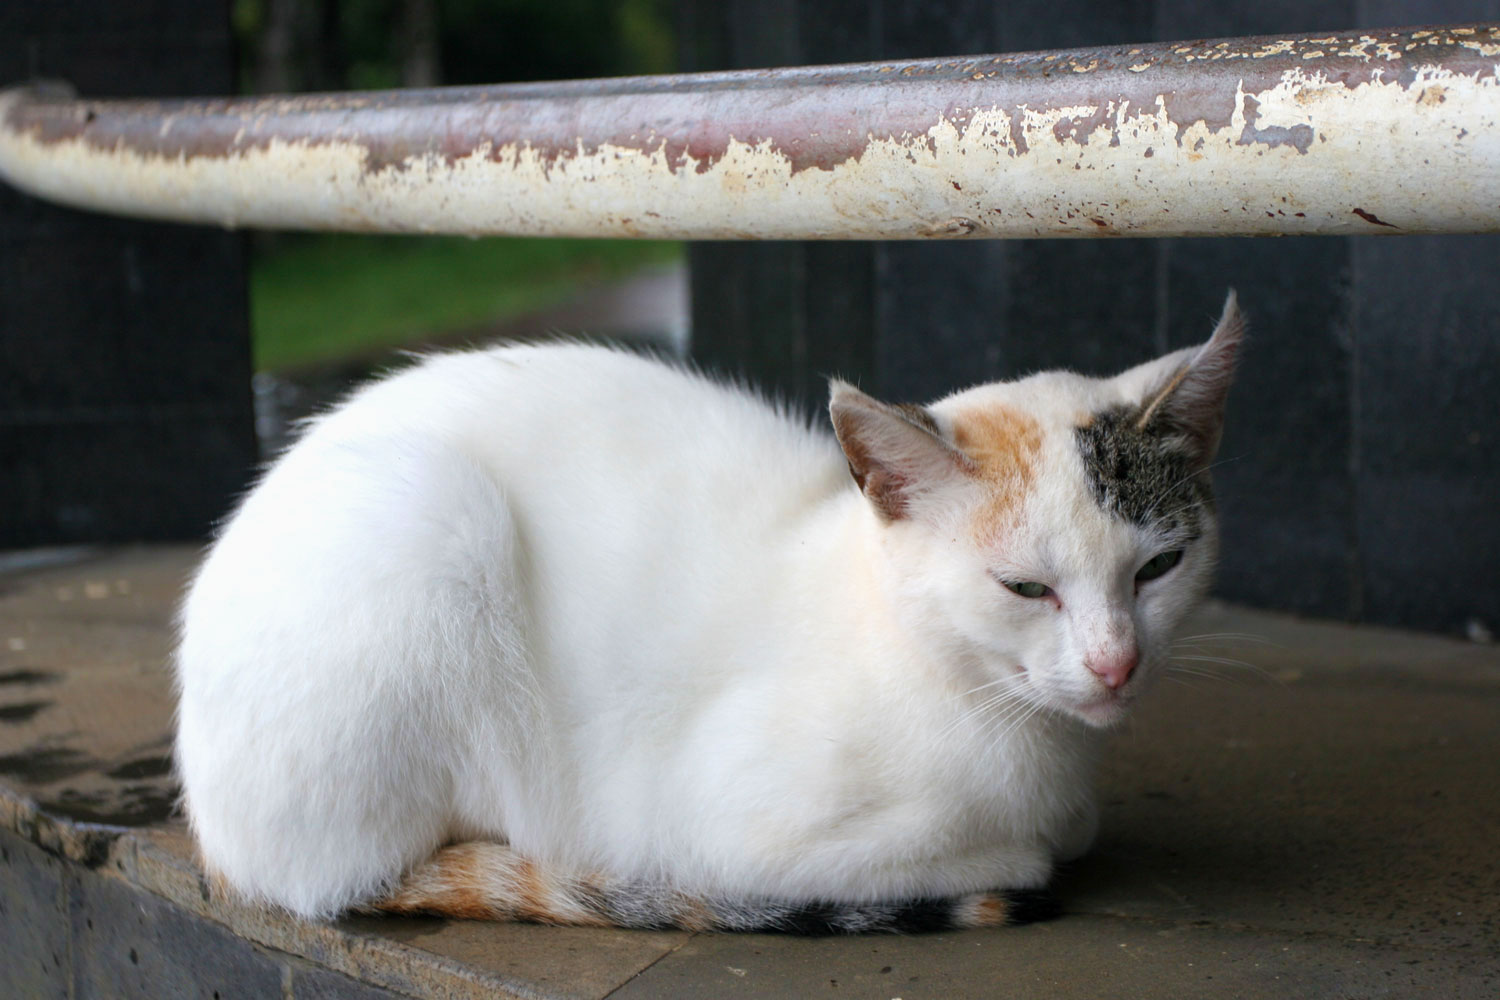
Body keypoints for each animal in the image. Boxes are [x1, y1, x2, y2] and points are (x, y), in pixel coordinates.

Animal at [172, 293, 1242, 935]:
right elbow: (1021, 851)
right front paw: (1021, 853)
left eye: (1159, 567)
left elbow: (1075, 827)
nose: (1115, 664)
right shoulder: (721, 829)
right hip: (423, 517)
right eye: (1025, 589)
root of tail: (215, 843)